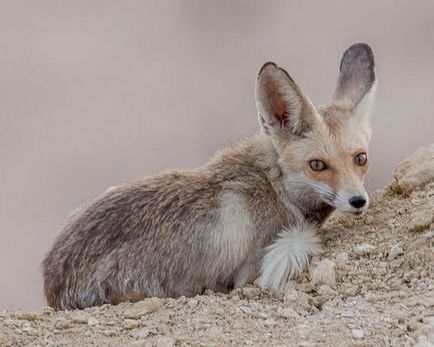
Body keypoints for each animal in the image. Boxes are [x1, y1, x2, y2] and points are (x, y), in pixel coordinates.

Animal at [43, 42, 376, 312]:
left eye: (360, 159)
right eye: (317, 165)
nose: (358, 201)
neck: (276, 184)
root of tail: (51, 282)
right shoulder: (248, 272)